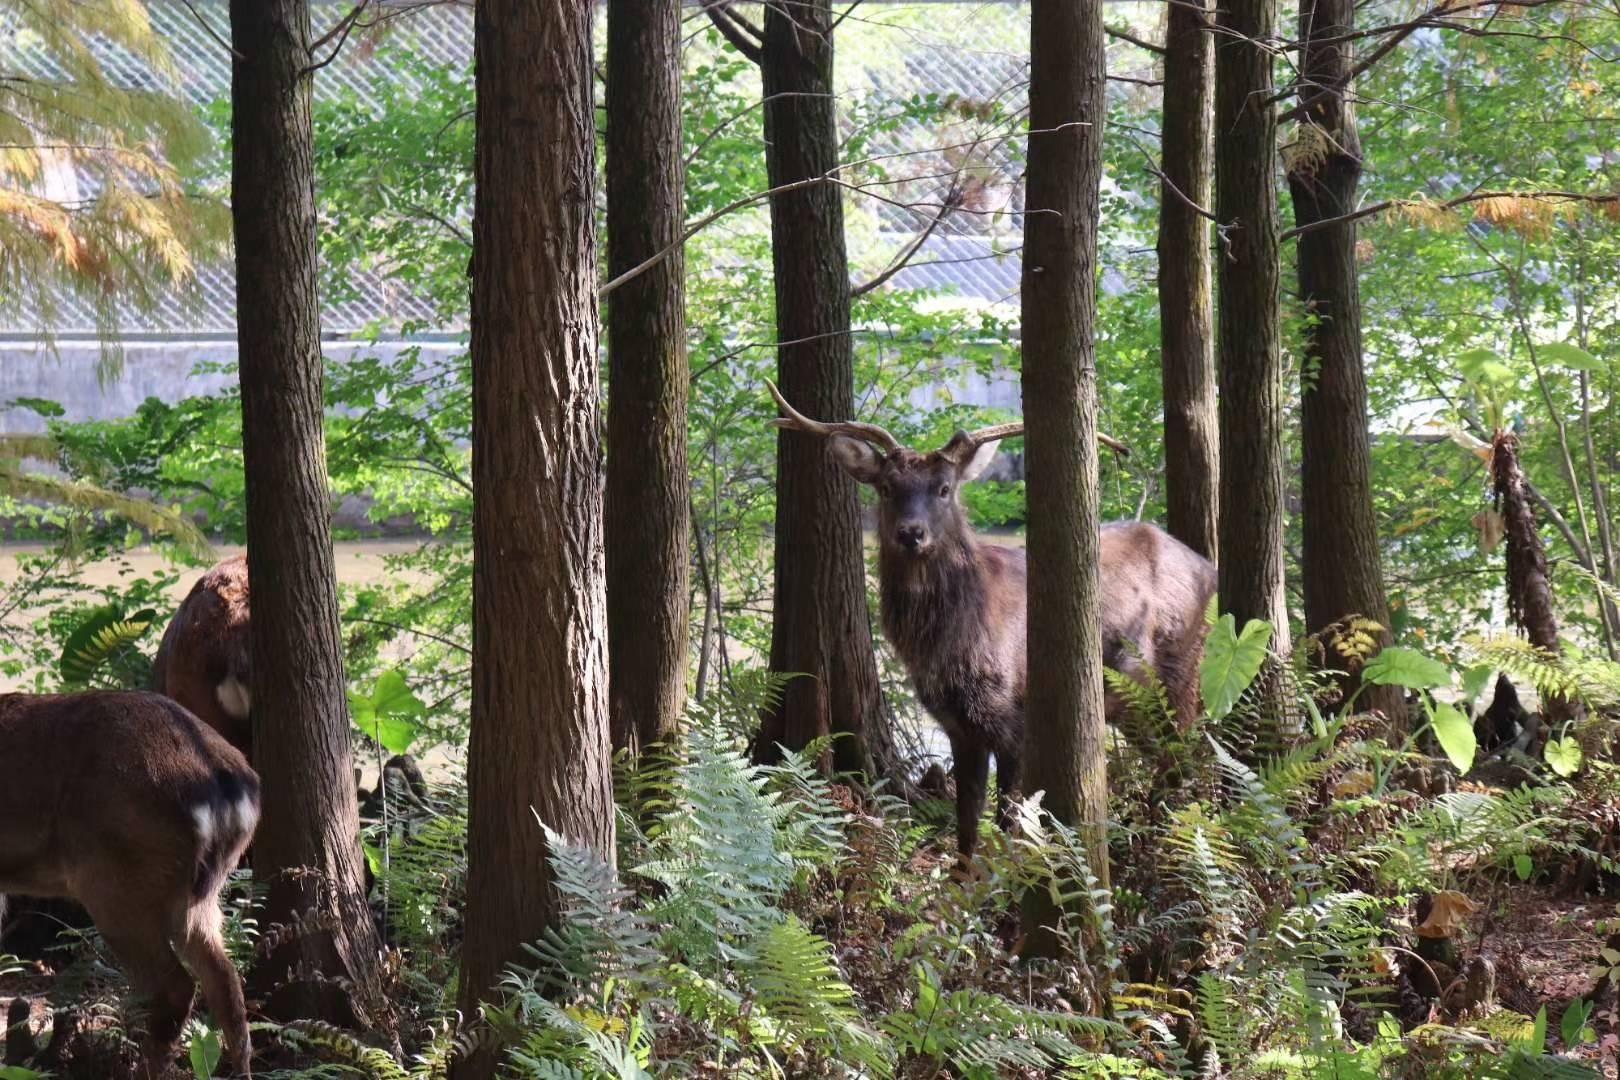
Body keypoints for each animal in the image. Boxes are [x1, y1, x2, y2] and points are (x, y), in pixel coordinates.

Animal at [764, 380, 1211, 861]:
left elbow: (1008, 817)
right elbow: (967, 820)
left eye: (944, 488)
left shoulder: (1016, 717)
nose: (911, 533)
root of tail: (1210, 569)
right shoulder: (958, 726)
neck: (953, 645)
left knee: (1184, 752)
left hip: (1180, 675)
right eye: (885, 487)